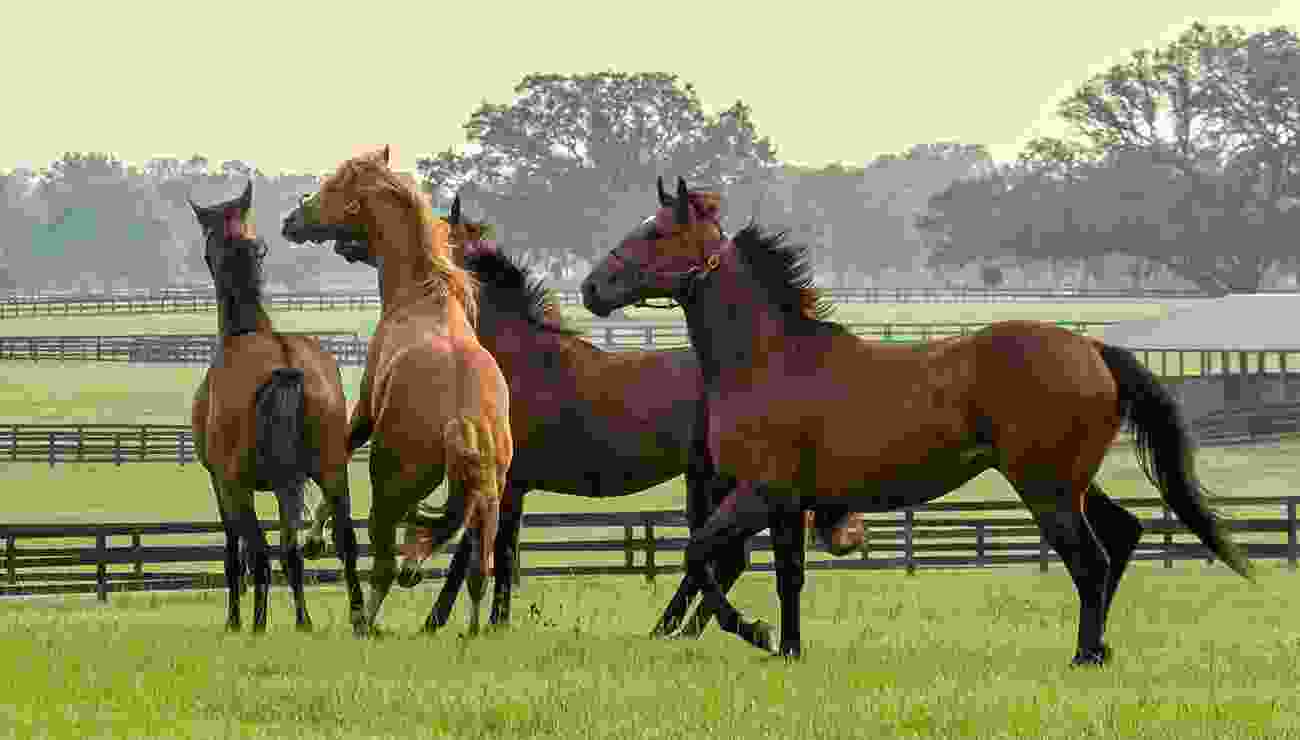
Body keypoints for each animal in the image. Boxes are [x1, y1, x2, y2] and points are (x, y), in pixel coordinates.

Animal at [189, 180, 363, 634]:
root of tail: (286, 363)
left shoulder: (222, 484)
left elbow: (235, 554)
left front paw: (236, 620)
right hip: (331, 473)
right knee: (338, 543)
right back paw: (352, 620)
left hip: (244, 485)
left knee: (263, 553)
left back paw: (259, 625)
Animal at [279, 146, 512, 635]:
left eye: (334, 185)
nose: (292, 218)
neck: (423, 295)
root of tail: (463, 422)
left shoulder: (364, 412)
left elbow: (341, 456)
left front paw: (313, 538)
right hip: (488, 503)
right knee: (479, 572)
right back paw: (469, 629)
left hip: (389, 490)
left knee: (382, 566)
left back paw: (365, 621)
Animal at [580, 176, 1256, 665]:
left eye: (658, 232)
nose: (591, 288)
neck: (768, 358)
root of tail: (1091, 348)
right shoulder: (786, 502)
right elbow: (787, 576)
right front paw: (789, 648)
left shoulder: (758, 493)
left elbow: (699, 555)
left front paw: (753, 631)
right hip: (1073, 483)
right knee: (1122, 537)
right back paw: (1102, 645)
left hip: (1046, 487)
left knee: (1090, 560)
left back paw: (1085, 655)